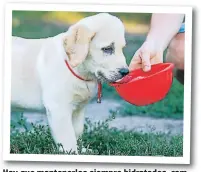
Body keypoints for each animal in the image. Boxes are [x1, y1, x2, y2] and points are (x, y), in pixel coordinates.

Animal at [11, 13, 129, 153]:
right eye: (107, 49)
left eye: (122, 49)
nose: (126, 72)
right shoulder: (59, 108)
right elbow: (68, 139)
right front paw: (72, 153)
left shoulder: (78, 108)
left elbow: (77, 131)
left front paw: (82, 150)